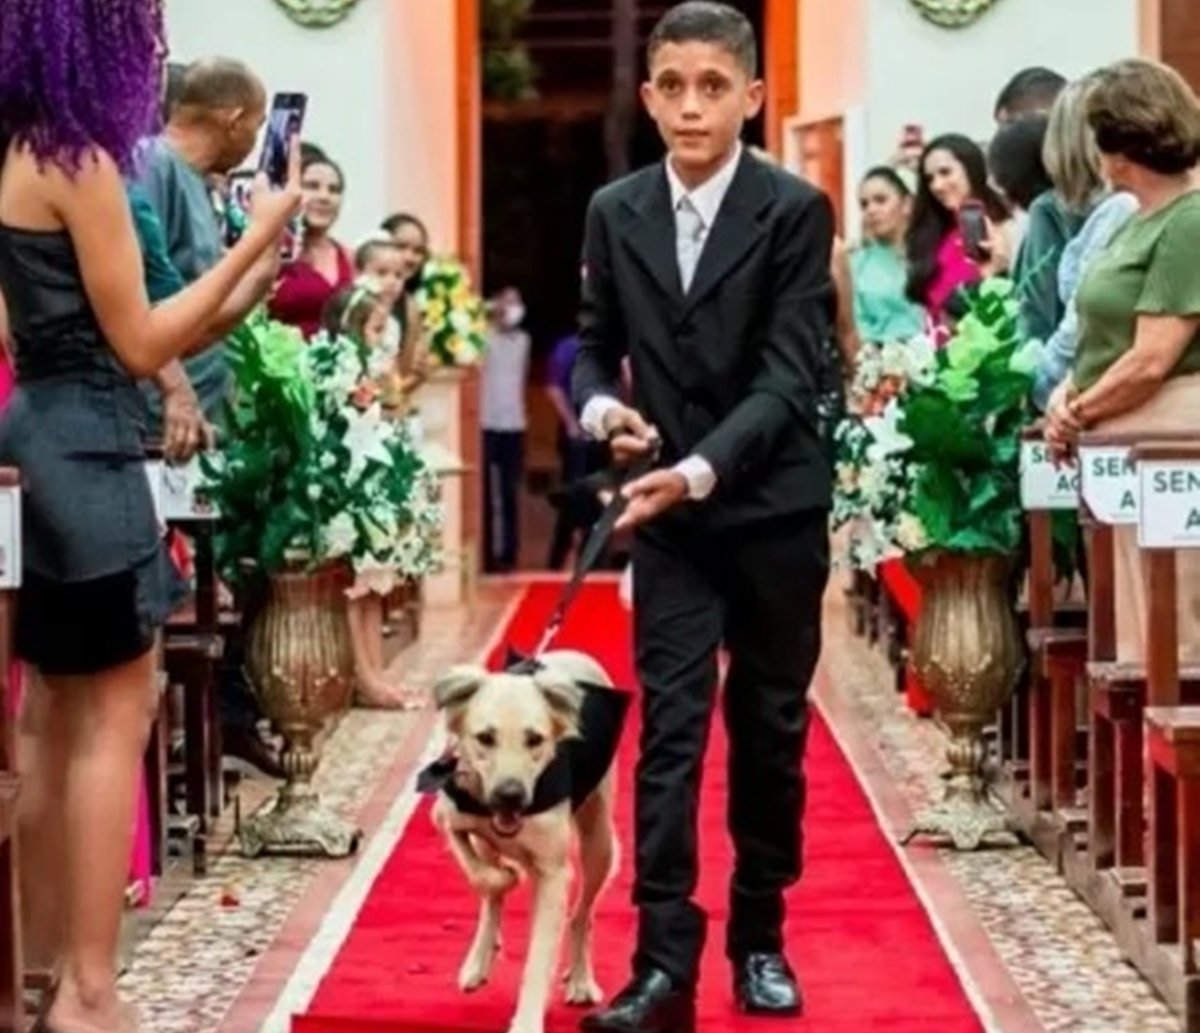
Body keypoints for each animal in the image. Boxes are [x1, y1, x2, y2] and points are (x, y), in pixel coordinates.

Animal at [429, 647, 619, 1031]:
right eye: (485, 738)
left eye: (534, 739)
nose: (510, 795)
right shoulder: (448, 817)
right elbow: (483, 877)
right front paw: (504, 878)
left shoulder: (553, 874)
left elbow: (539, 955)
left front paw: (528, 1019)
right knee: (491, 899)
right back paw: (479, 959)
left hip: (600, 842)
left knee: (582, 915)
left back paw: (580, 979)